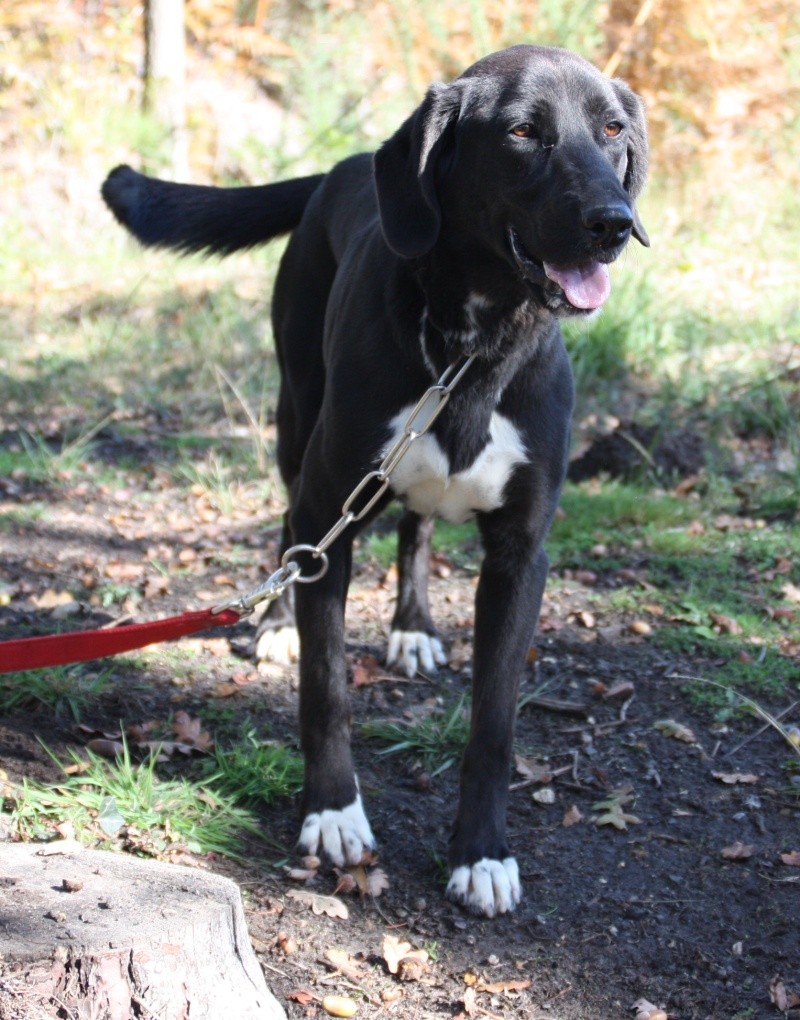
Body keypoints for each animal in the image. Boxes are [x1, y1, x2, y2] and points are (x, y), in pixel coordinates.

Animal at [101, 43, 648, 918]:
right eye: (522, 131)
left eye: (612, 130)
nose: (613, 223)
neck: (472, 350)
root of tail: (346, 165)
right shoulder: (335, 506)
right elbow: (327, 690)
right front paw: (332, 813)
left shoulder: (521, 556)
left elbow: (493, 724)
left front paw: (482, 853)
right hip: (297, 420)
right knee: (291, 531)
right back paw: (276, 623)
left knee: (417, 526)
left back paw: (413, 626)